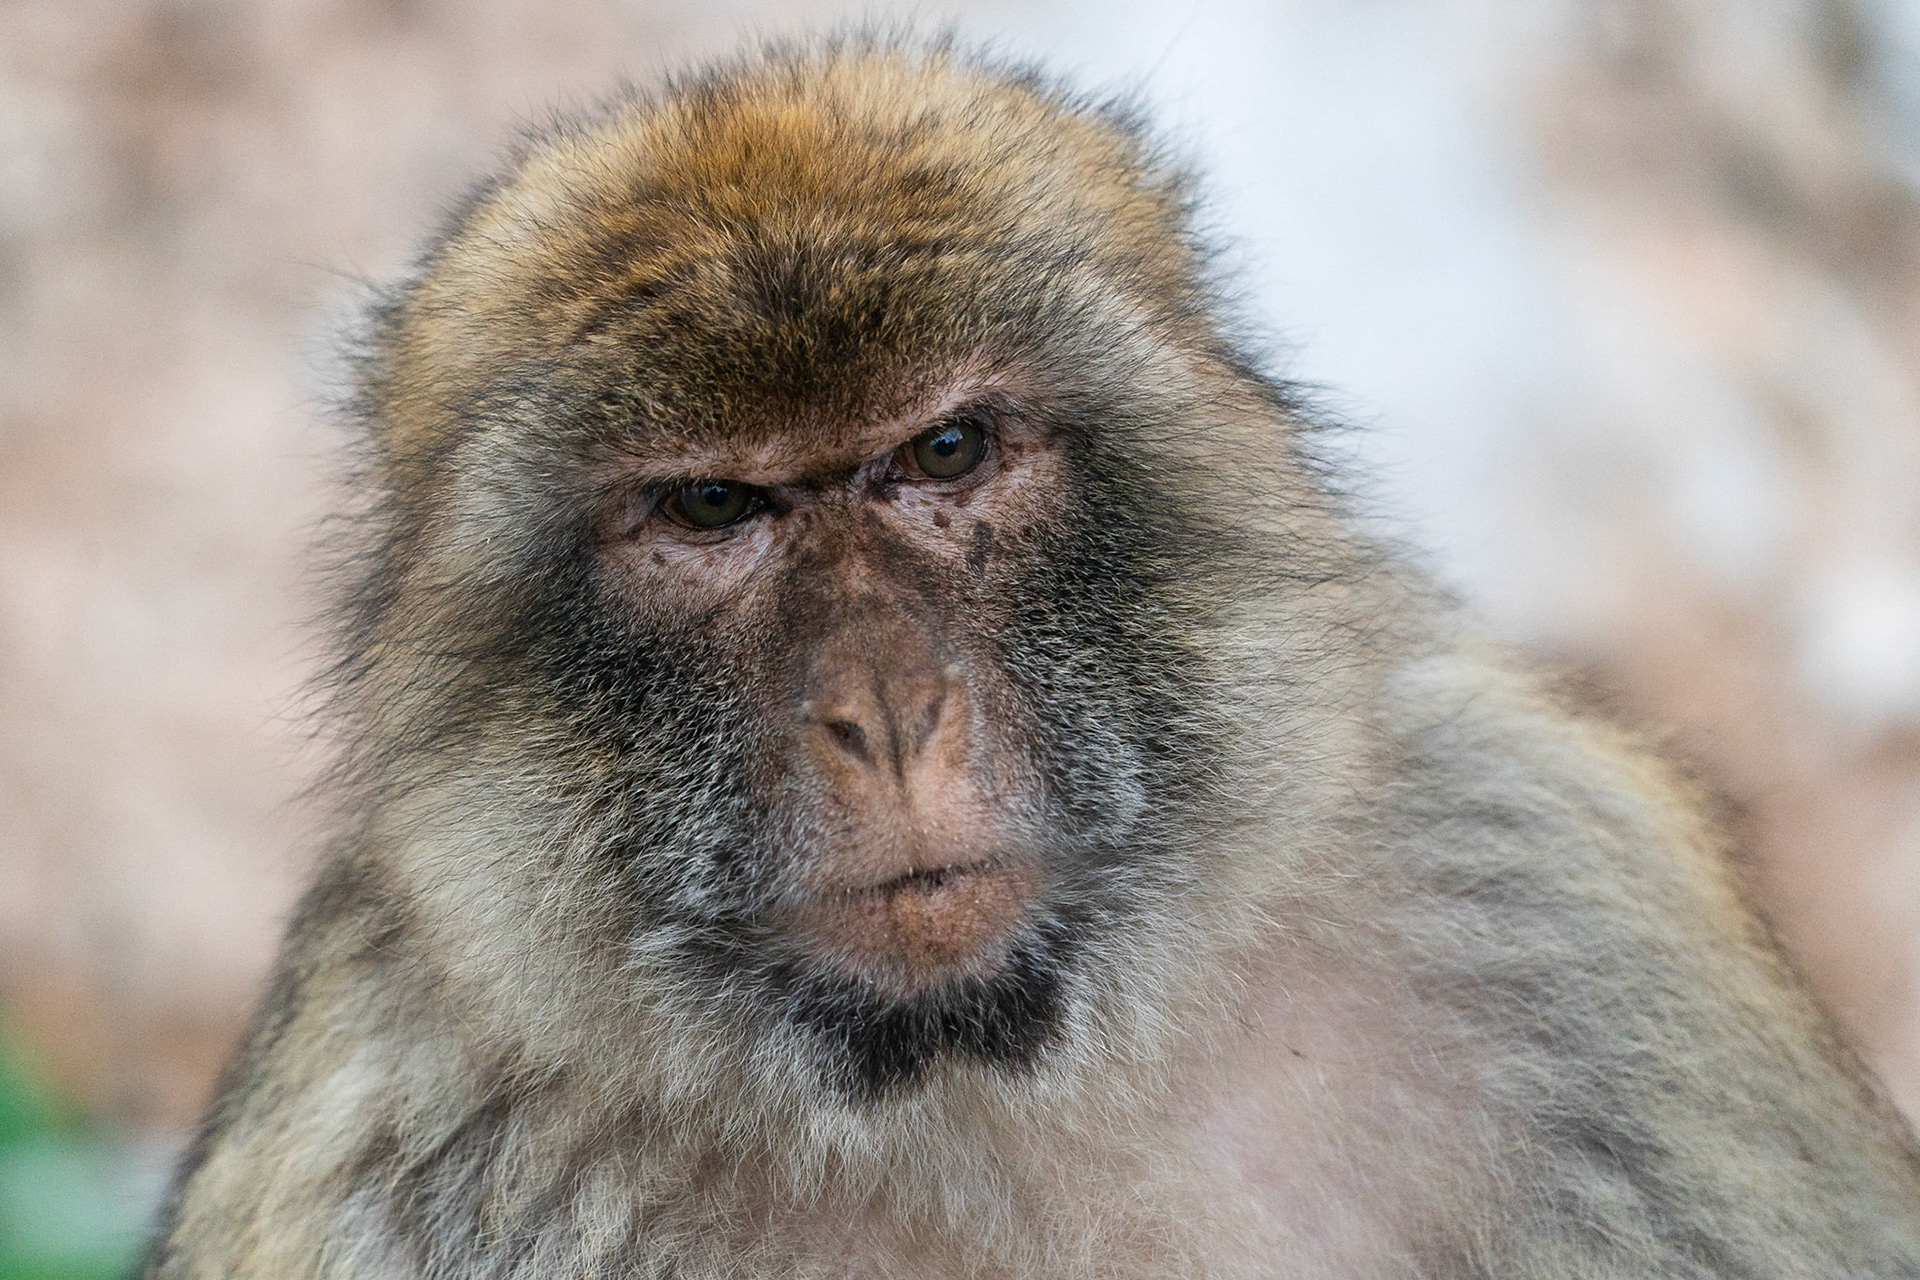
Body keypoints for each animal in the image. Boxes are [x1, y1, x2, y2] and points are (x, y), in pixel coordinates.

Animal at [139, 35, 1920, 1280]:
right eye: (713, 506)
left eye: (942, 450)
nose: (888, 713)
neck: (993, 1094)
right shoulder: (403, 1142)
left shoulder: (1565, 902)